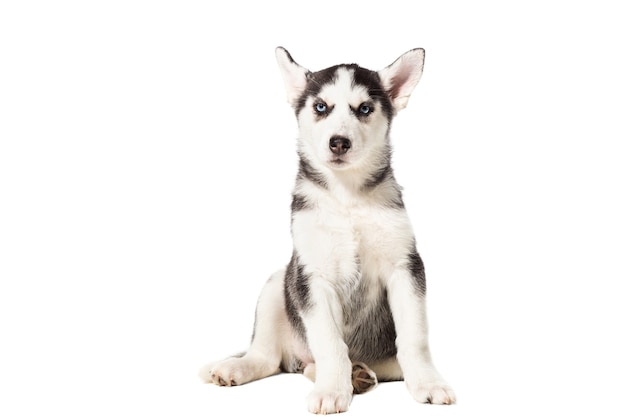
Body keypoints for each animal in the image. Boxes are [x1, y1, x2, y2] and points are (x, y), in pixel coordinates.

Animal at [200, 47, 454, 412]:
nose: (339, 143)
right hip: (278, 282)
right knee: (269, 358)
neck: (347, 197)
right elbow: (330, 342)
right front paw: (332, 391)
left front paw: (428, 383)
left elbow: (415, 337)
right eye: (321, 107)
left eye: (365, 109)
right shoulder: (312, 276)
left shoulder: (406, 266)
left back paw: (360, 374)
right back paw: (240, 367)